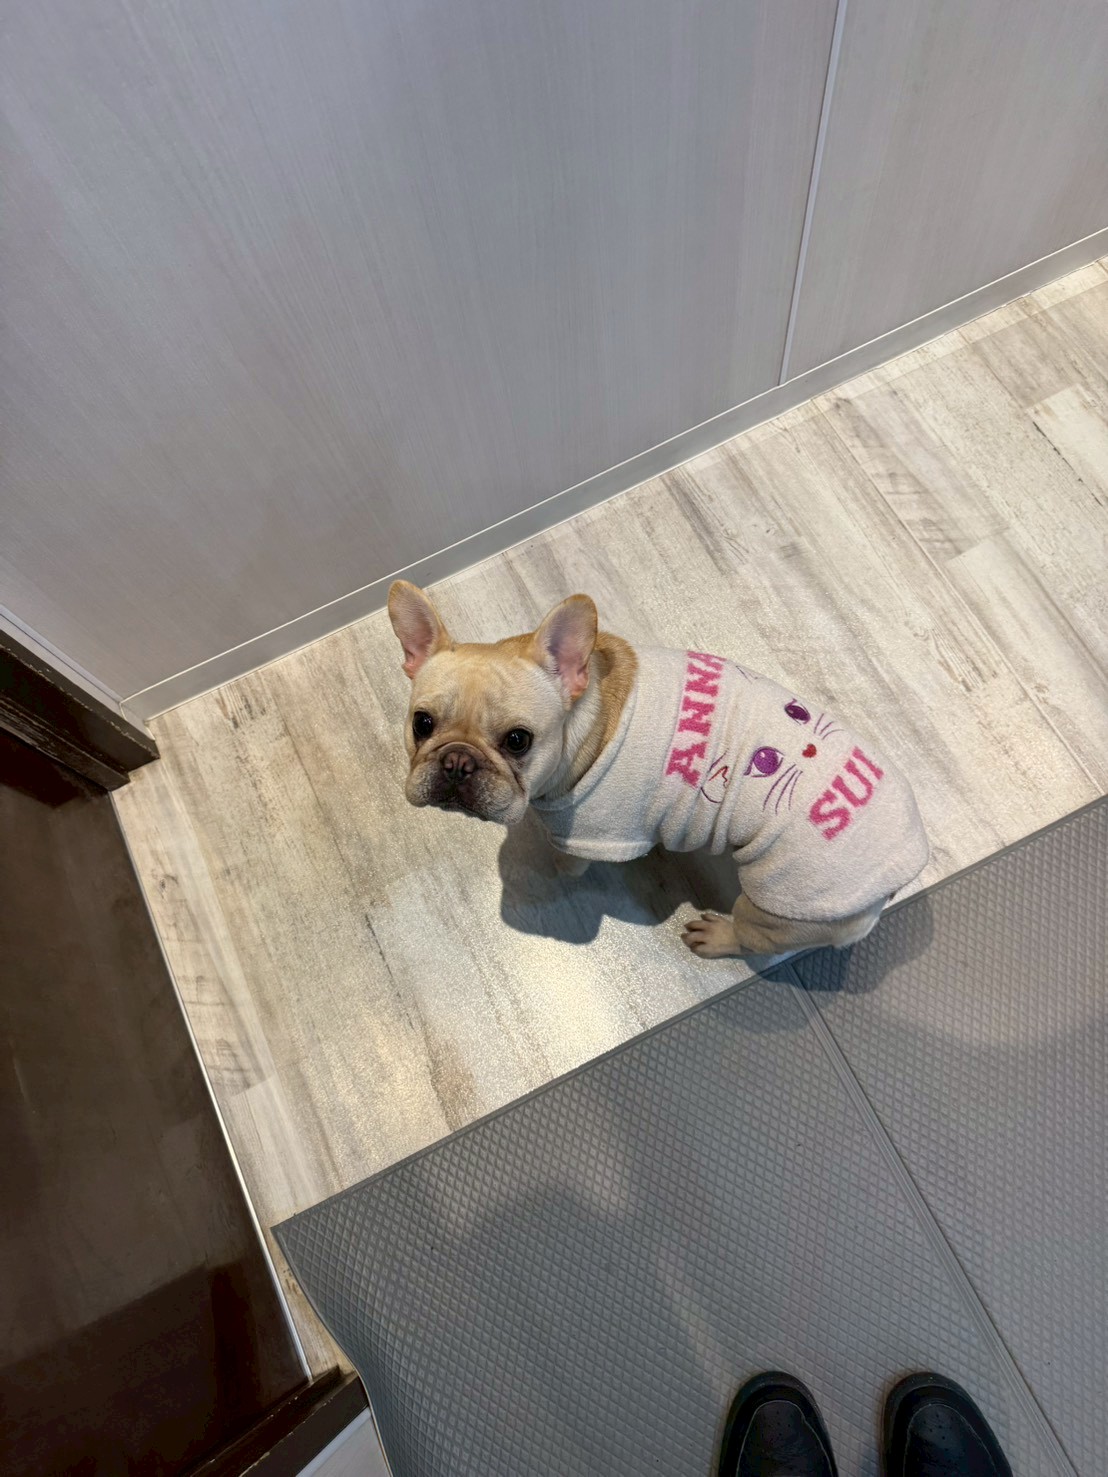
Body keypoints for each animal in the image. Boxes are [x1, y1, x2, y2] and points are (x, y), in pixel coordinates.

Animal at [387, 580, 929, 957]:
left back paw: (719, 937)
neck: (588, 715)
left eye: (518, 740)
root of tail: (905, 864)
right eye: (422, 723)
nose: (457, 760)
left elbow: (566, 861)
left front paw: (547, 866)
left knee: (756, 937)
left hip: (781, 906)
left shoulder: (590, 836)